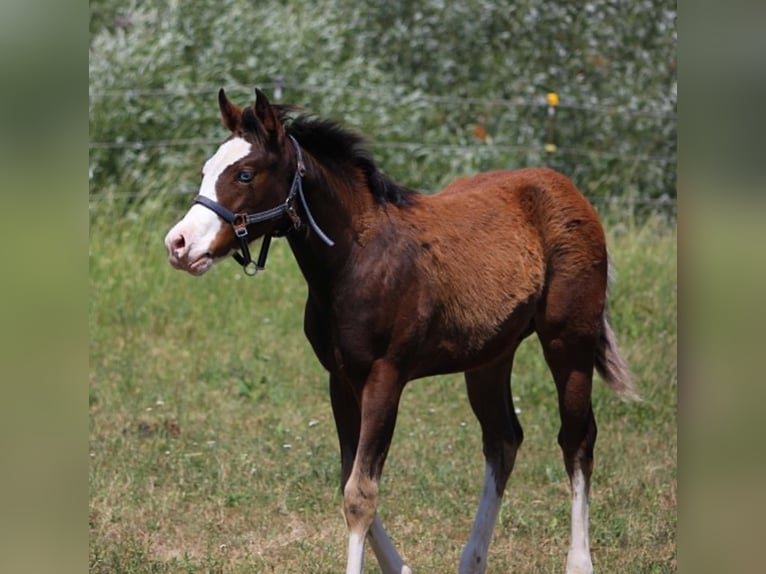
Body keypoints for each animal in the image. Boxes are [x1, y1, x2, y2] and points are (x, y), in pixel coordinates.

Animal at [164, 88, 637, 574]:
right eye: (205, 171)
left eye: (244, 174)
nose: (178, 244)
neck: (356, 260)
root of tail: (567, 187)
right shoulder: (340, 379)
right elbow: (349, 478)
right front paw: (402, 567)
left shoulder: (385, 376)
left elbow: (360, 493)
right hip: (490, 356)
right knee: (503, 439)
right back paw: (472, 559)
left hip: (570, 340)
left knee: (576, 439)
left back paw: (578, 562)